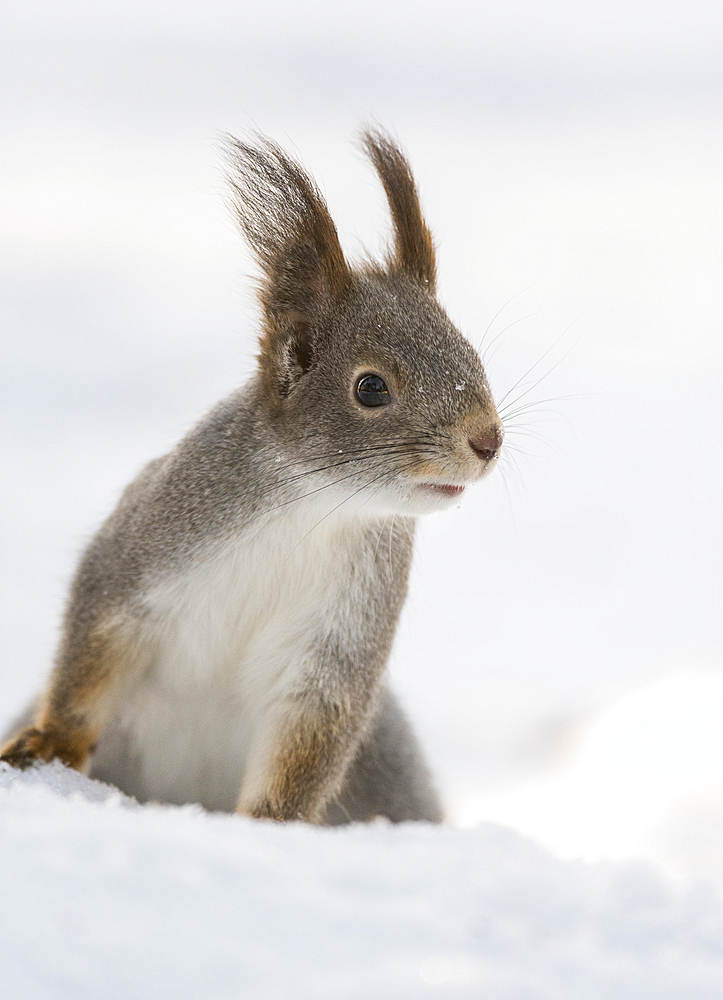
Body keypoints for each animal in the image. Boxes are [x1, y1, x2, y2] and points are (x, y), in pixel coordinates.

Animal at [0, 129, 504, 824]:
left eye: (472, 356)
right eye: (371, 387)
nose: (488, 441)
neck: (311, 506)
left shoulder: (337, 646)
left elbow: (307, 742)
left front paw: (269, 828)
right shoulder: (143, 551)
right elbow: (90, 652)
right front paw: (48, 744)